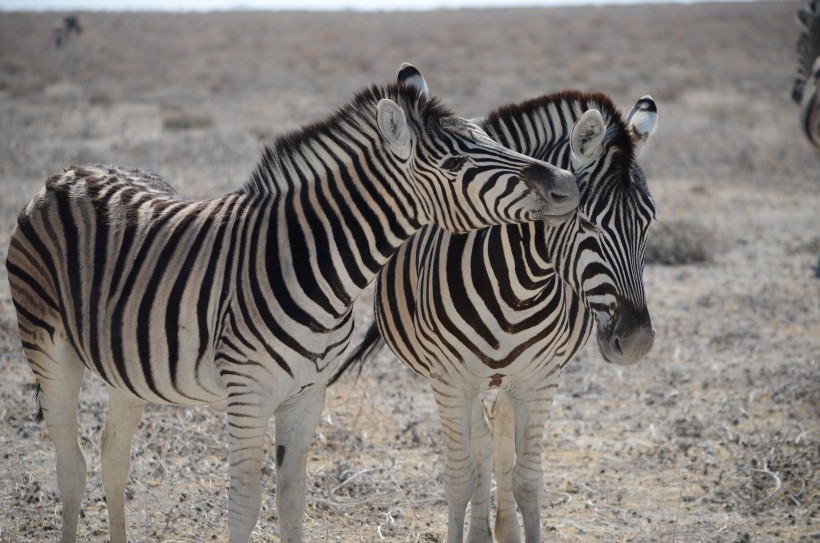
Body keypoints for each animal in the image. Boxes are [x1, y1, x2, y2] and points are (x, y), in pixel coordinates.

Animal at [6, 81, 584, 543]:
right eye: (456, 165)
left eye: (492, 139)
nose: (568, 185)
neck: (319, 268)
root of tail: (69, 172)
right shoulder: (248, 393)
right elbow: (244, 505)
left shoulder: (308, 393)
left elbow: (291, 503)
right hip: (48, 346)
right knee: (71, 467)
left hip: (128, 365)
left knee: (112, 458)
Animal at [334, 65, 660, 543]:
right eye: (586, 221)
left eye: (650, 220)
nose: (636, 342)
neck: (518, 287)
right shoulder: (450, 380)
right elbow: (460, 476)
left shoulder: (540, 378)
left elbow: (526, 478)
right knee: (482, 446)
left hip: (508, 380)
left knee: (500, 441)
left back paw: (502, 527)